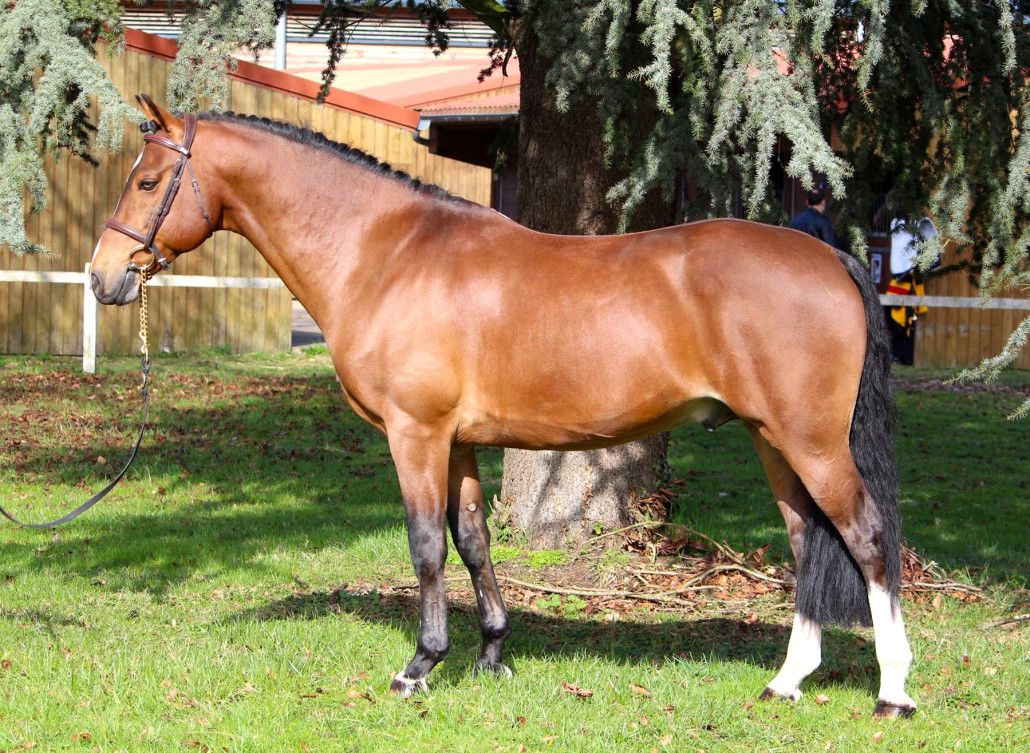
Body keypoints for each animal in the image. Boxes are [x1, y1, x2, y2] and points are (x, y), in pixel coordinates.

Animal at [89, 95, 915, 718]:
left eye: (147, 181)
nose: (103, 277)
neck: (388, 252)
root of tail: (830, 256)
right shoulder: (457, 441)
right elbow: (474, 540)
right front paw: (491, 655)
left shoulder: (415, 435)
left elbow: (427, 544)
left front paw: (420, 664)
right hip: (775, 442)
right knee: (808, 542)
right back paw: (786, 681)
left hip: (811, 442)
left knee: (868, 537)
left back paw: (894, 692)